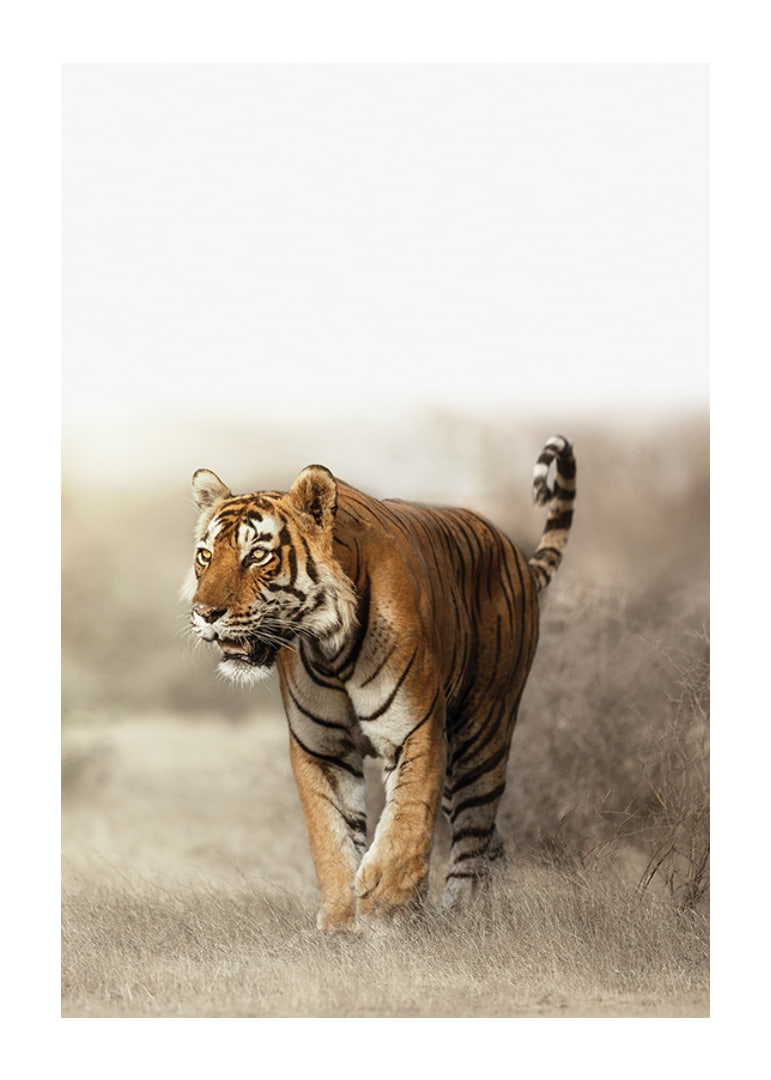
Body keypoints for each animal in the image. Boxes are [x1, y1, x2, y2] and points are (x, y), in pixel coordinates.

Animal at [182, 435, 576, 932]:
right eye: (206, 555)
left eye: (257, 555)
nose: (204, 613)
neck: (328, 646)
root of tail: (517, 558)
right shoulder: (321, 747)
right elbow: (331, 835)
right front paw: (340, 920)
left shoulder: (415, 731)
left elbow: (405, 822)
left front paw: (384, 905)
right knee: (491, 837)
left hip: (481, 734)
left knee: (474, 831)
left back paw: (460, 913)